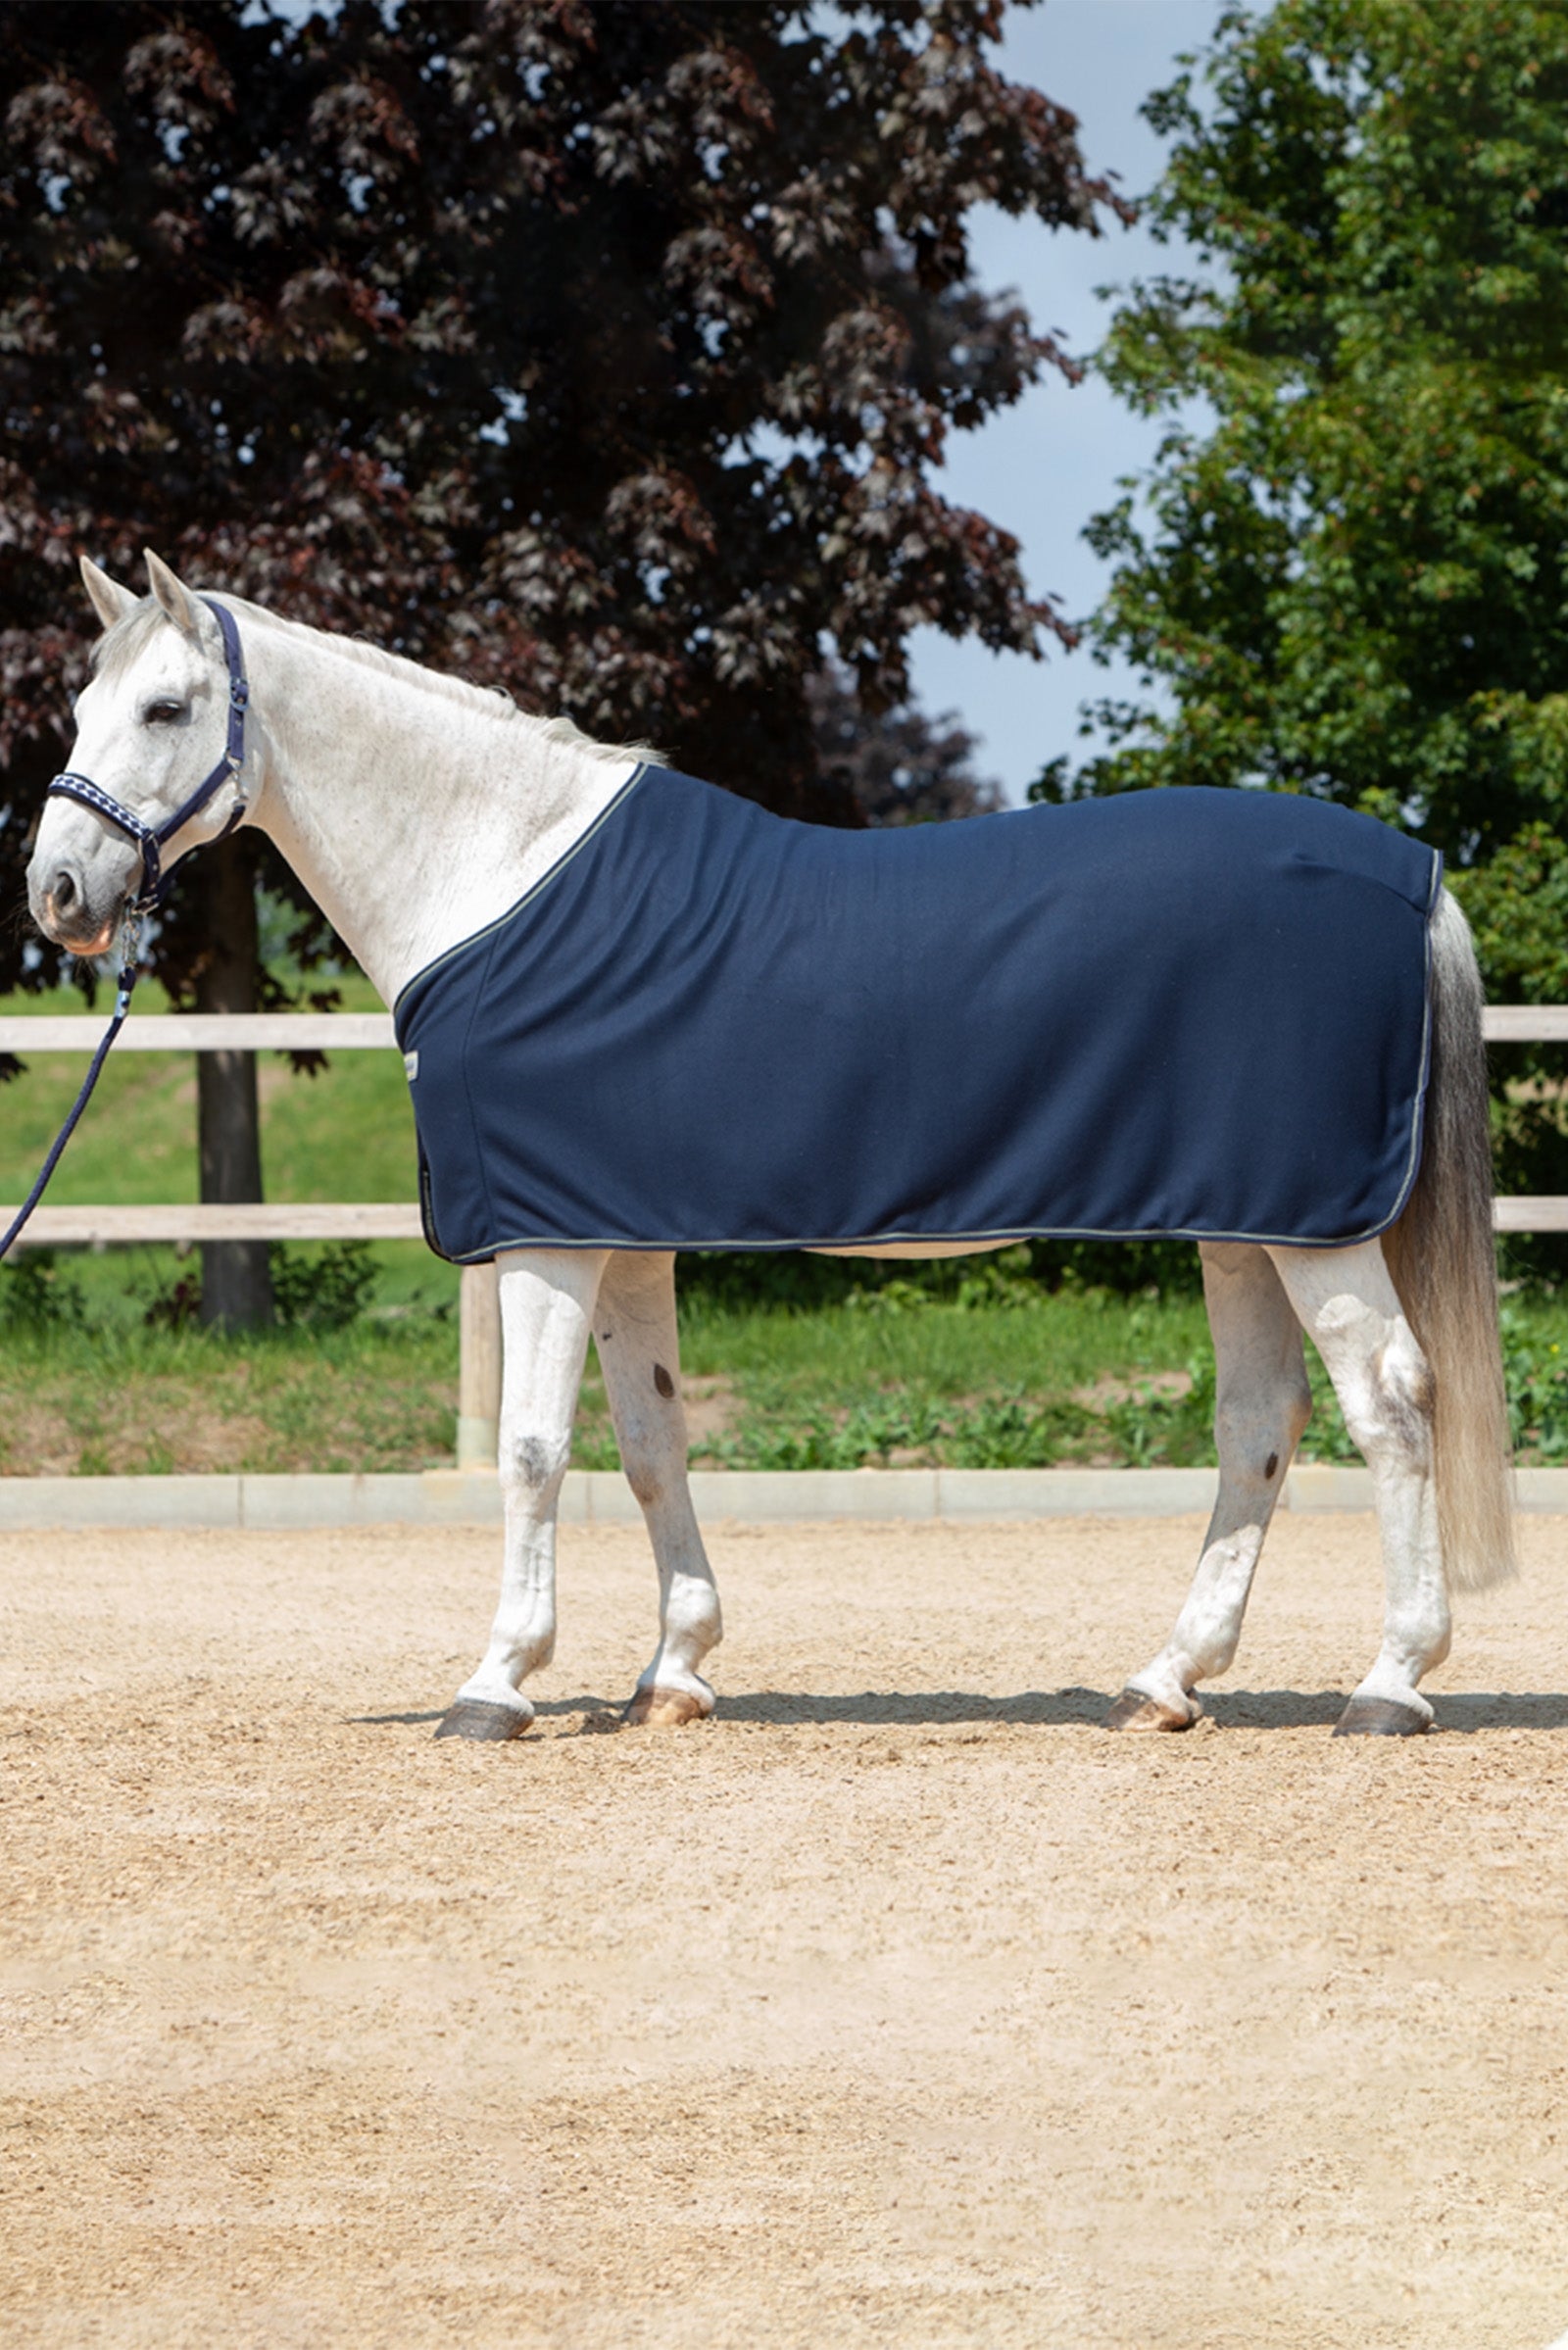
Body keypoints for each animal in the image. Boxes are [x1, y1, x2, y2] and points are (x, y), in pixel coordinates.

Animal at [26, 552, 1515, 1742]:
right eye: (82, 708)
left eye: (165, 709)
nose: (58, 893)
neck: (500, 875)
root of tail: (1416, 876)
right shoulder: (618, 1236)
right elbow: (648, 1440)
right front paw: (672, 1671)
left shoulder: (547, 1244)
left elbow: (529, 1451)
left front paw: (498, 1682)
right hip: (1245, 1221)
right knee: (1260, 1422)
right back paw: (1167, 1681)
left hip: (1308, 1227)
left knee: (1390, 1401)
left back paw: (1390, 1683)